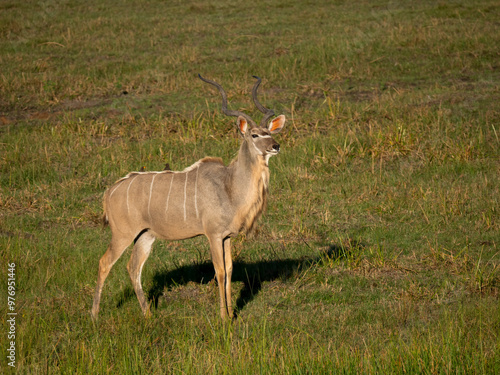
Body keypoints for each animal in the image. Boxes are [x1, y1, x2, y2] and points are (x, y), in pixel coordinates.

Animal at [91, 75, 286, 322]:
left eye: (271, 133)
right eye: (254, 135)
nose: (275, 146)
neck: (229, 186)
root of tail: (110, 192)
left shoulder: (226, 237)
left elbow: (230, 270)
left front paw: (232, 315)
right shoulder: (213, 235)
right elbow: (219, 272)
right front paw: (223, 318)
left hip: (145, 236)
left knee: (133, 268)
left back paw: (148, 314)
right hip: (123, 234)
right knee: (104, 262)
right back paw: (94, 315)